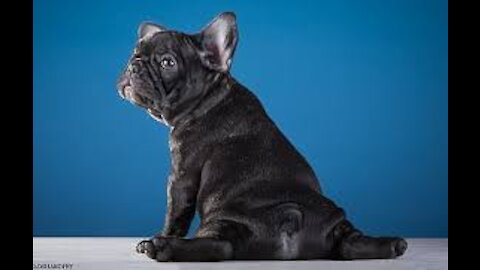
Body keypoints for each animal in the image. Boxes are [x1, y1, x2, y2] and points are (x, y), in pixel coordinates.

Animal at [115, 12, 404, 262]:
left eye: (167, 62)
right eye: (134, 54)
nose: (133, 66)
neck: (210, 97)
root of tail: (292, 216)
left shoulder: (182, 175)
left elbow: (175, 214)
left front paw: (161, 235)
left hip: (223, 217)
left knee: (220, 246)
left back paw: (162, 246)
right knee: (348, 244)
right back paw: (392, 244)